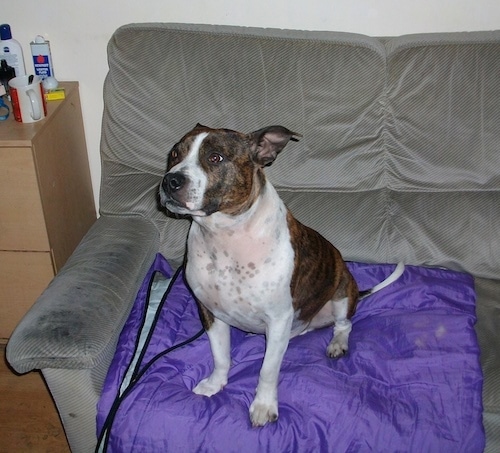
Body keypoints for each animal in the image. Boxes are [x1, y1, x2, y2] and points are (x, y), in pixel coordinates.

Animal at [158, 124, 404, 428]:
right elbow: (221, 356)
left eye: (215, 157)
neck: (222, 235)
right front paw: (216, 384)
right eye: (174, 154)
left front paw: (264, 406)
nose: (170, 181)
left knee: (344, 325)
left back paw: (337, 344)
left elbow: (267, 370)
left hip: (342, 293)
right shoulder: (210, 312)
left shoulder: (277, 320)